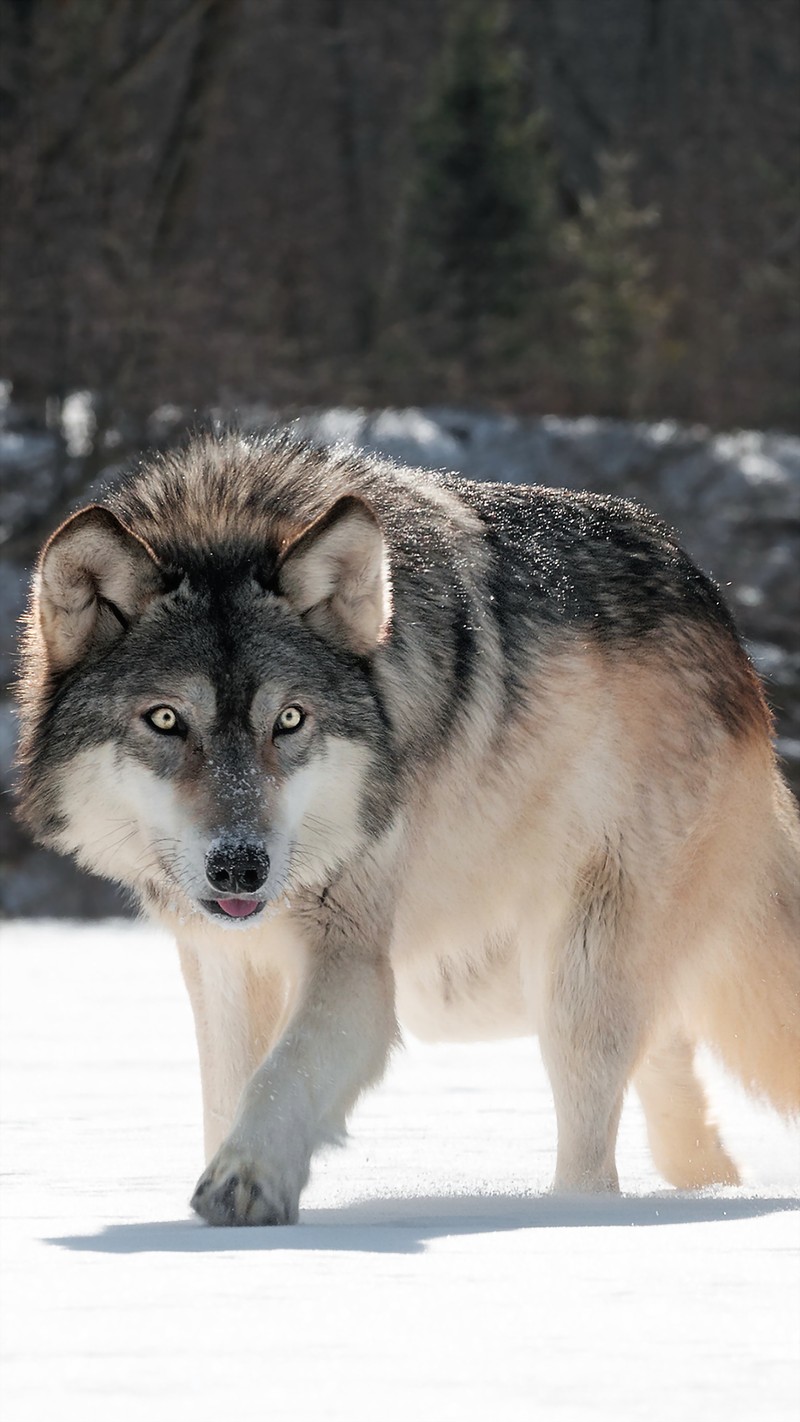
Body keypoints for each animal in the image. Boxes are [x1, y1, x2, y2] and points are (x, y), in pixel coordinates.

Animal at [12, 429, 800, 1222]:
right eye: (166, 720)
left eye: (289, 719)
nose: (241, 866)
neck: (228, 518)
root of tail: (727, 630)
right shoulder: (225, 960)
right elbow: (230, 1090)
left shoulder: (354, 961)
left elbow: (282, 1073)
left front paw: (246, 1180)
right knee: (669, 1065)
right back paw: (704, 1186)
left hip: (568, 977)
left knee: (595, 1149)